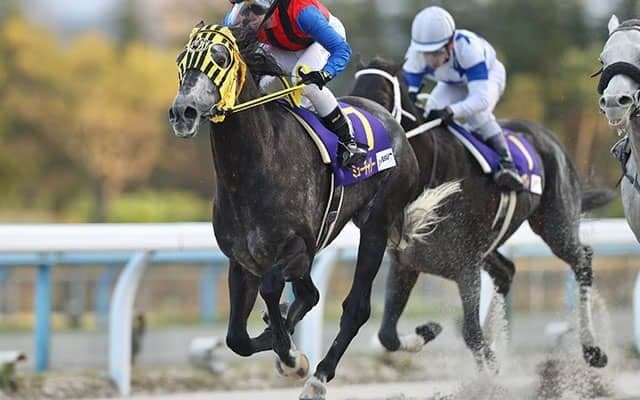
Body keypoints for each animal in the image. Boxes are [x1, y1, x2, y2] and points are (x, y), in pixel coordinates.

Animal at [168, 25, 420, 400]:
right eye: (182, 59)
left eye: (221, 57)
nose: (182, 111)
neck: (251, 171)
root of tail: (390, 119)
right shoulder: (243, 260)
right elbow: (237, 338)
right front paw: (281, 341)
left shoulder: (296, 248)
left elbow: (274, 290)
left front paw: (291, 357)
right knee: (309, 295)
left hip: (376, 225)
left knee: (356, 307)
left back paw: (318, 376)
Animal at [350, 56, 614, 372]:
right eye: (354, 91)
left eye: (381, 95)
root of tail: (548, 137)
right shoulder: (406, 264)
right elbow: (387, 335)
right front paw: (430, 330)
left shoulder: (466, 266)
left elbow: (470, 334)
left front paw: (489, 364)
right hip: (490, 246)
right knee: (506, 272)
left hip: (556, 224)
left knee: (582, 259)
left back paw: (592, 349)